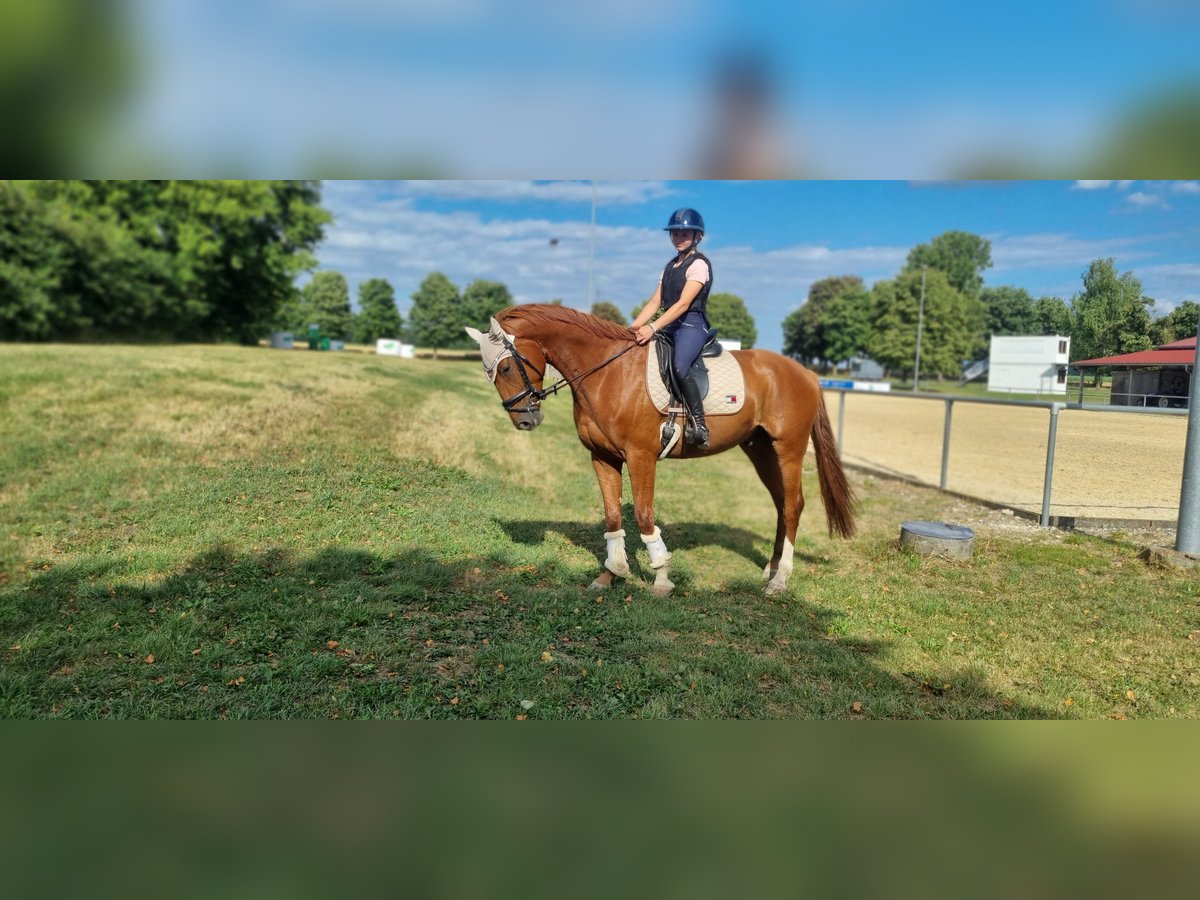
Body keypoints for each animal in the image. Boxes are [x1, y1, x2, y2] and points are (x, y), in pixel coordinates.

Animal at [466, 304, 856, 596]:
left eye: (505, 367)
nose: (524, 421)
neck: (608, 372)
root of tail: (805, 373)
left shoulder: (641, 456)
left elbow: (643, 515)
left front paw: (661, 578)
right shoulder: (602, 457)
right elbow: (612, 517)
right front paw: (611, 574)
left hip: (788, 449)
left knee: (792, 506)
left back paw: (780, 580)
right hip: (760, 449)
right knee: (780, 504)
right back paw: (771, 569)